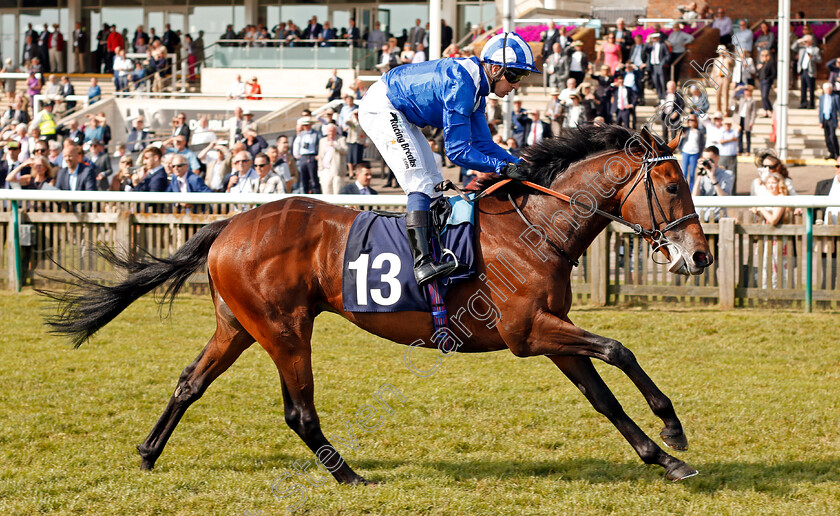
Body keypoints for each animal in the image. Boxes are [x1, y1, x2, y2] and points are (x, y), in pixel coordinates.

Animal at [41, 124, 708, 484]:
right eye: (673, 184)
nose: (699, 255)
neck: (535, 228)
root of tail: (231, 224)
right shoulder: (529, 332)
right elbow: (619, 348)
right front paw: (672, 428)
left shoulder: (551, 329)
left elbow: (602, 394)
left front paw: (660, 456)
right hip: (285, 329)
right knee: (299, 412)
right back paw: (347, 473)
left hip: (238, 326)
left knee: (189, 383)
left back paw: (148, 453)